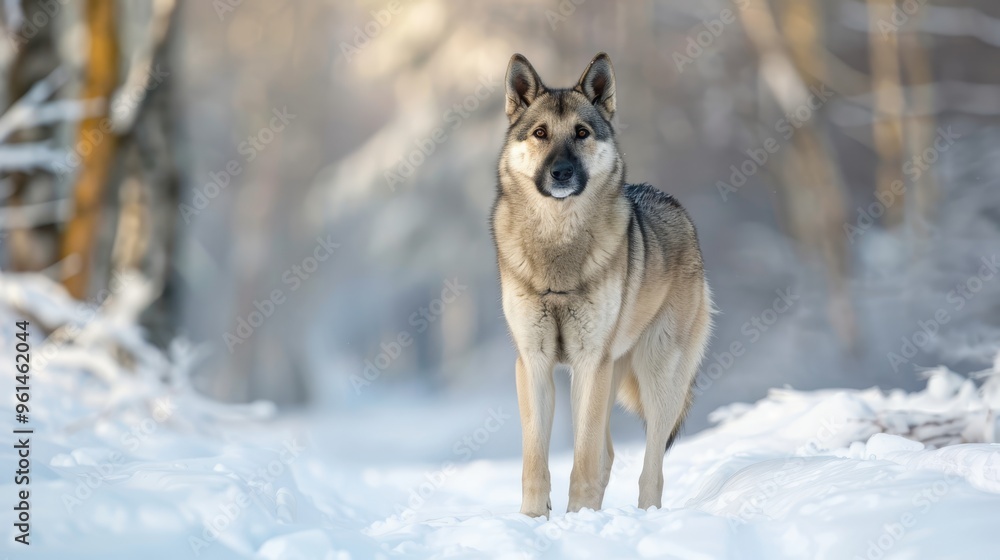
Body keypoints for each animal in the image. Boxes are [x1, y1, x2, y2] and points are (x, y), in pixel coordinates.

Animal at [490, 52, 713, 517]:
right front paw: (534, 519)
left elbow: (584, 460)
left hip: (655, 375)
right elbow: (535, 462)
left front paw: (578, 519)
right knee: (609, 453)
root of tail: (676, 206)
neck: (559, 245)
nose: (561, 172)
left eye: (581, 133)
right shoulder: (534, 362)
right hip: (614, 375)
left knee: (650, 466)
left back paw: (647, 515)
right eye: (540, 133)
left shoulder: (591, 362)